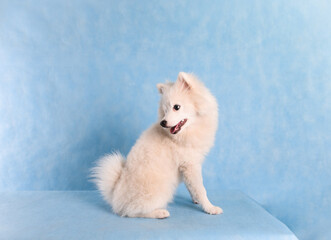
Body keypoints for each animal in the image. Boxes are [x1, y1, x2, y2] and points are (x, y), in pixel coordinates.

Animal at [92, 72, 224, 218]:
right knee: (132, 212)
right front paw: (210, 207)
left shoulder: (189, 167)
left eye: (176, 107)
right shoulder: (190, 165)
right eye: (165, 111)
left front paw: (196, 200)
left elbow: (192, 187)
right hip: (162, 189)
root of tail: (115, 196)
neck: (185, 133)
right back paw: (159, 213)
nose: (163, 122)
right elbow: (201, 189)